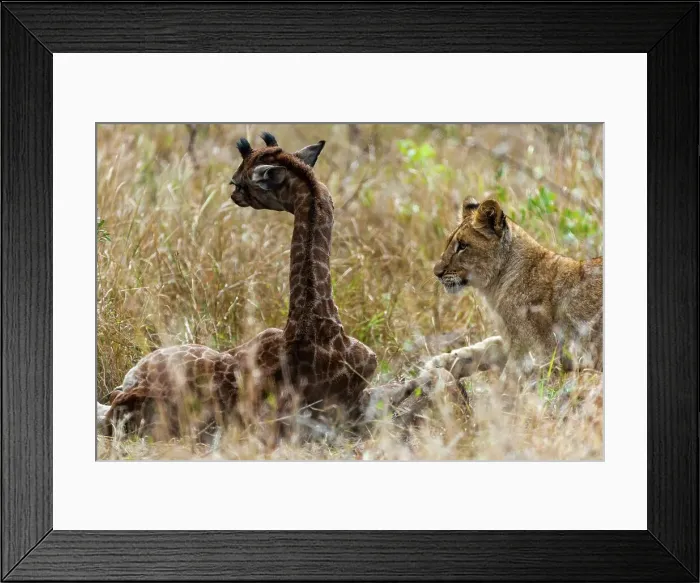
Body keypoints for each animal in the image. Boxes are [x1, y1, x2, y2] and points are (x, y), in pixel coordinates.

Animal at [427, 197, 602, 391]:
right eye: (449, 242)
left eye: (463, 246)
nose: (436, 273)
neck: (495, 286)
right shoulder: (513, 341)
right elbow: (486, 347)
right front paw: (439, 363)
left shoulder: (539, 354)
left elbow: (507, 383)